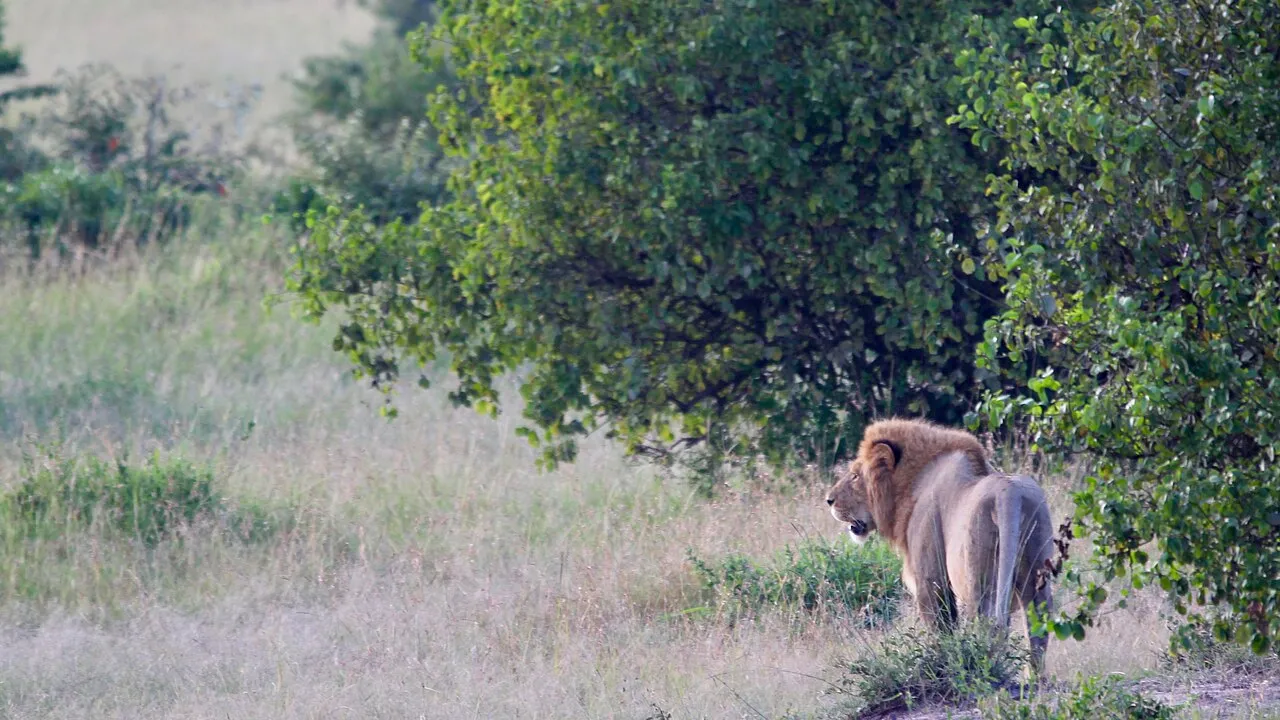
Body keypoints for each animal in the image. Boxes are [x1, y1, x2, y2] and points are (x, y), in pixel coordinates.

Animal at [825, 418, 1055, 677]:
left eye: (855, 476)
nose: (829, 500)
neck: (912, 486)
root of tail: (1009, 494)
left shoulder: (930, 579)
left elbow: (940, 629)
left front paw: (940, 665)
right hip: (1036, 569)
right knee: (1038, 630)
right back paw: (1032, 680)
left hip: (977, 579)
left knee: (988, 624)